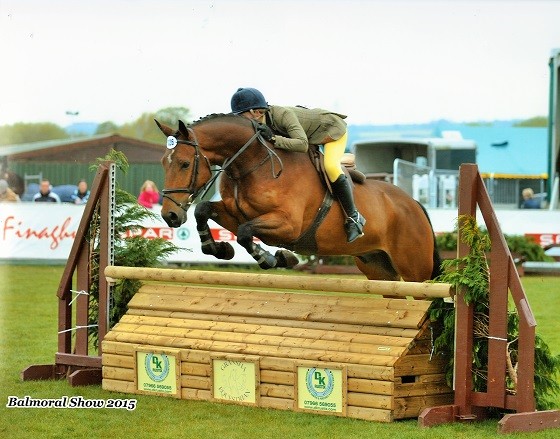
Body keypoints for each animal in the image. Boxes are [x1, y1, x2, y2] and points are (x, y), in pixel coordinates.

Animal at [154, 113, 442, 284]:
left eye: (183, 164)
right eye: (163, 162)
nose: (170, 215)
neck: (253, 162)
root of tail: (415, 204)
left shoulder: (289, 225)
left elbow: (246, 232)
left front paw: (274, 259)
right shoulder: (235, 212)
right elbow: (204, 210)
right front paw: (219, 249)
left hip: (415, 270)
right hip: (378, 268)